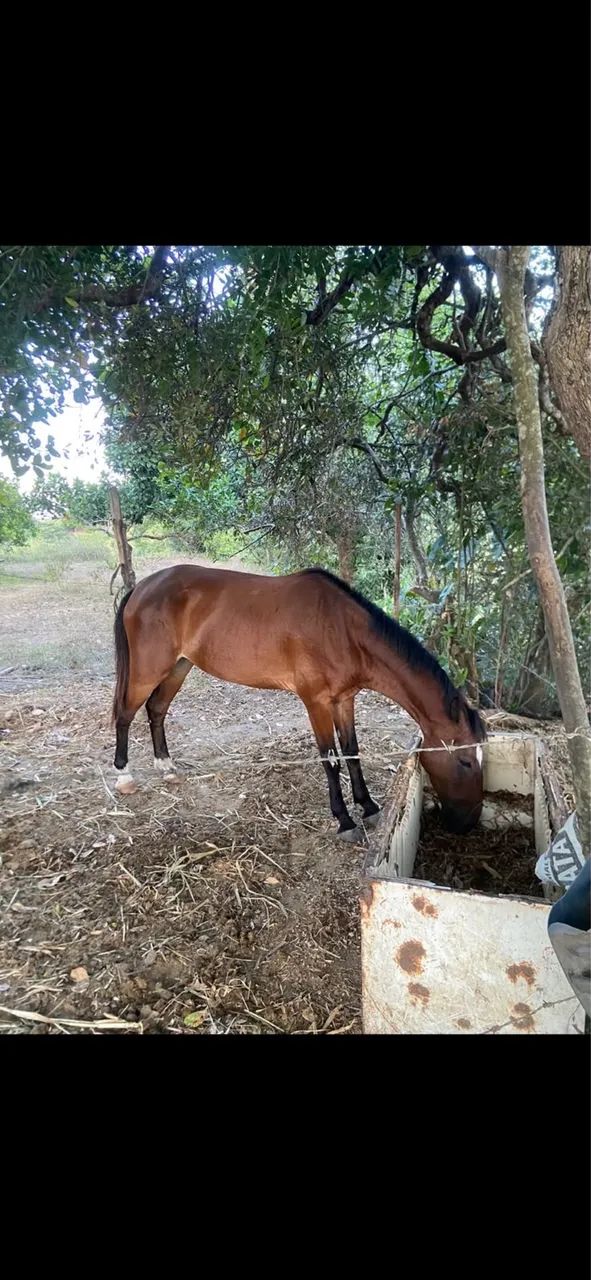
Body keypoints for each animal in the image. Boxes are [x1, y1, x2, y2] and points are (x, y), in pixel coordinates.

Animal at [112, 565, 486, 839]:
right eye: (466, 761)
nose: (469, 823)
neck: (341, 630)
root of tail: (142, 587)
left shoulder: (344, 701)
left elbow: (352, 753)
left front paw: (367, 807)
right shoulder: (316, 702)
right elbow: (330, 759)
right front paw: (345, 821)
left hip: (179, 666)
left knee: (156, 710)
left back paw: (166, 767)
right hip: (148, 670)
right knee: (125, 714)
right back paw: (124, 776)